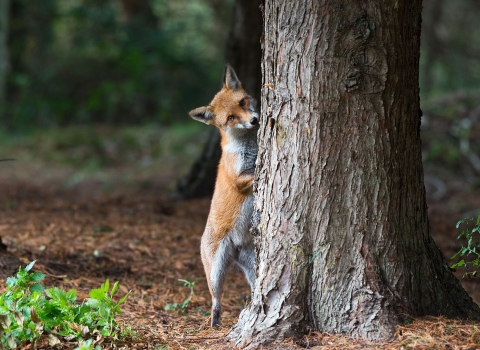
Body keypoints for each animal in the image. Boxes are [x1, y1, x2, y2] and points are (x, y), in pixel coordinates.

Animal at [189, 64, 260, 326]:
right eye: (230, 118)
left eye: (243, 102)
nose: (254, 121)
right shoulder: (238, 178)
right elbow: (254, 172)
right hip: (216, 272)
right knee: (215, 298)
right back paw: (215, 323)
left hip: (251, 264)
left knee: (254, 287)